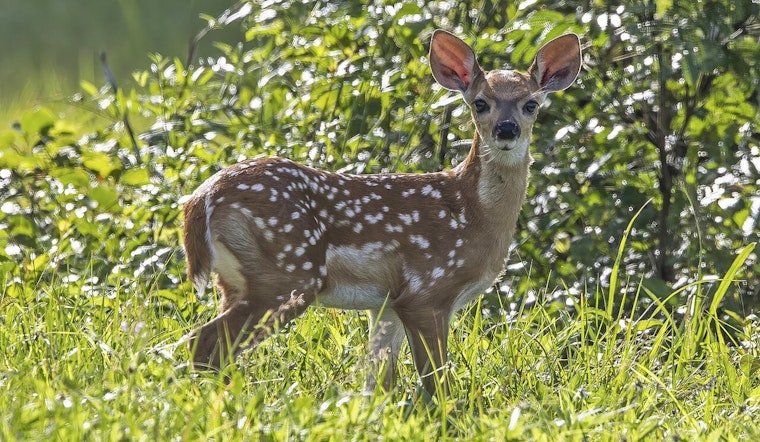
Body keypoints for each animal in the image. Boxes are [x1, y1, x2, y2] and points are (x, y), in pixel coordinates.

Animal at [182, 29, 581, 395]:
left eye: (531, 104)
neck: (474, 215)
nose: (507, 129)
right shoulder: (427, 290)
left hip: (237, 280)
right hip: (286, 273)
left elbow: (377, 383)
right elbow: (437, 383)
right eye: (480, 103)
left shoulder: (387, 303)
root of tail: (202, 199)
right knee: (204, 342)